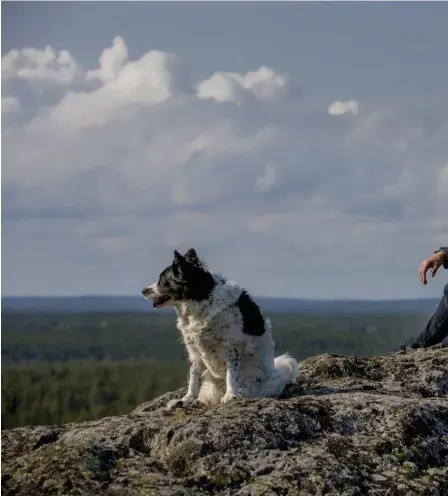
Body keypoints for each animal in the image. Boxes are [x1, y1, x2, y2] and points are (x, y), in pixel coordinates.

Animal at [142, 250, 300, 408]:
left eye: (162, 280)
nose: (143, 290)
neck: (203, 299)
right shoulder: (195, 351)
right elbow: (194, 377)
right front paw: (186, 399)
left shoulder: (232, 347)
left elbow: (231, 374)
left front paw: (231, 395)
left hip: (274, 379)